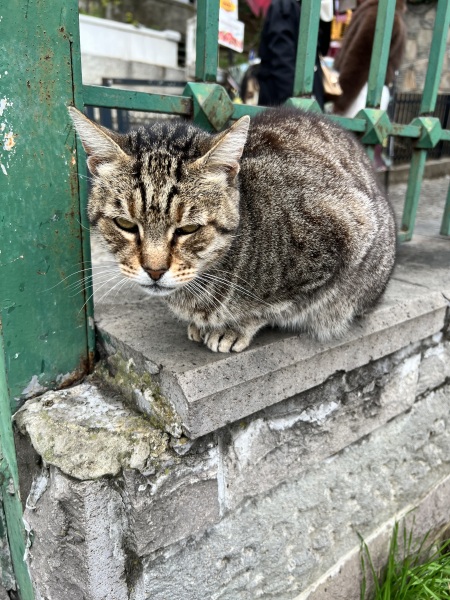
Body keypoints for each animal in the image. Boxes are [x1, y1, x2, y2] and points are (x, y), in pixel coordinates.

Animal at [69, 106, 396, 353]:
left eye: (189, 229)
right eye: (125, 224)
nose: (154, 270)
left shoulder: (345, 238)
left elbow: (272, 308)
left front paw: (234, 327)